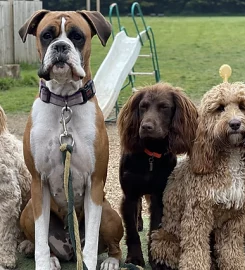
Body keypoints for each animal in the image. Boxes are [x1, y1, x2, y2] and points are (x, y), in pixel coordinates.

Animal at [17, 9, 122, 268]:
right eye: (46, 35)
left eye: (77, 36)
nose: (61, 46)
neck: (64, 102)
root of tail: (69, 248)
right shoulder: (39, 183)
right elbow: (41, 241)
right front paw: (43, 261)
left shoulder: (94, 183)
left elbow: (92, 245)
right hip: (27, 210)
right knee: (40, 241)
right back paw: (46, 255)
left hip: (108, 212)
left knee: (112, 246)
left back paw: (111, 260)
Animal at [151, 81, 245, 268]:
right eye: (220, 108)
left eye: (242, 106)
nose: (235, 124)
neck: (231, 156)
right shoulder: (198, 211)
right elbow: (196, 248)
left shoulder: (235, 216)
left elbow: (232, 249)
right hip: (165, 240)